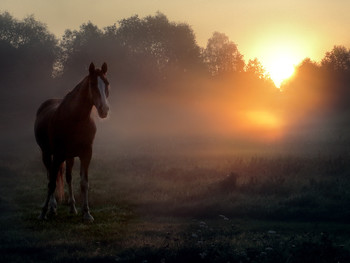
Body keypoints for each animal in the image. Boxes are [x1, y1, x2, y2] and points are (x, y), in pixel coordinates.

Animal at [34, 62, 110, 223]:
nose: (104, 110)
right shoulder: (57, 155)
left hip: (69, 157)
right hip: (46, 153)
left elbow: (84, 183)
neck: (75, 119)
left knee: (68, 177)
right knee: (51, 177)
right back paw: (52, 208)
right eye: (92, 84)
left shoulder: (86, 154)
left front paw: (86, 213)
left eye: (107, 83)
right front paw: (43, 212)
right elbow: (51, 184)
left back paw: (72, 207)